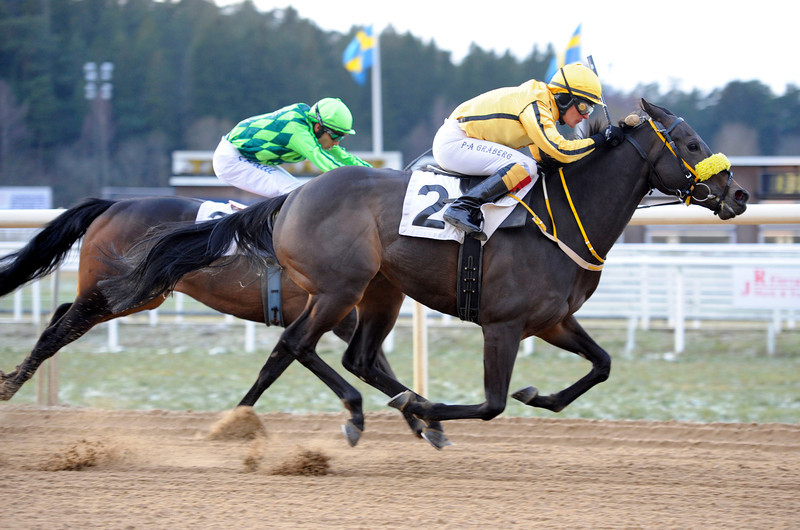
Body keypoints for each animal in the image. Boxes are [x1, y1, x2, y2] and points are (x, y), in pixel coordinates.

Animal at [0, 194, 438, 438]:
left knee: (61, 316)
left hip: (132, 295)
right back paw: (10, 384)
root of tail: (114, 205)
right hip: (111, 292)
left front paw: (420, 419)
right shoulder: (334, 308)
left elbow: (276, 365)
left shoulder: (333, 314)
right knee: (57, 332)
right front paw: (420, 417)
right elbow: (336, 359)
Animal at [101, 100, 752, 446]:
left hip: (380, 292)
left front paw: (537, 394)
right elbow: (492, 404)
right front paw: (435, 409)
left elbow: (602, 365)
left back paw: (385, 408)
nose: (739, 193)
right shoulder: (503, 325)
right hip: (340, 287)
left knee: (354, 357)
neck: (562, 217)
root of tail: (293, 197)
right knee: (297, 344)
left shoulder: (551, 321)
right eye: (691, 142)